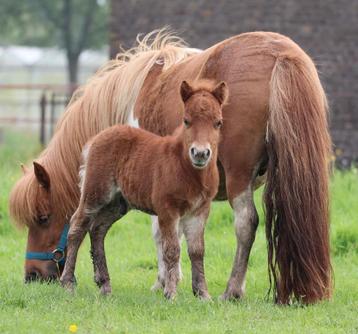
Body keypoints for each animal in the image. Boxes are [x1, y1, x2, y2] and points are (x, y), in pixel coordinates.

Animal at [59, 81, 228, 300]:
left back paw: (104, 284)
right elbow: (172, 249)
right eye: (186, 121)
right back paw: (68, 283)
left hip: (118, 204)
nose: (200, 153)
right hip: (96, 193)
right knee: (78, 225)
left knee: (97, 229)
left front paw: (202, 294)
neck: (185, 167)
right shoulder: (167, 210)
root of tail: (95, 139)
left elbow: (197, 250)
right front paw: (170, 293)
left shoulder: (200, 210)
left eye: (218, 123)